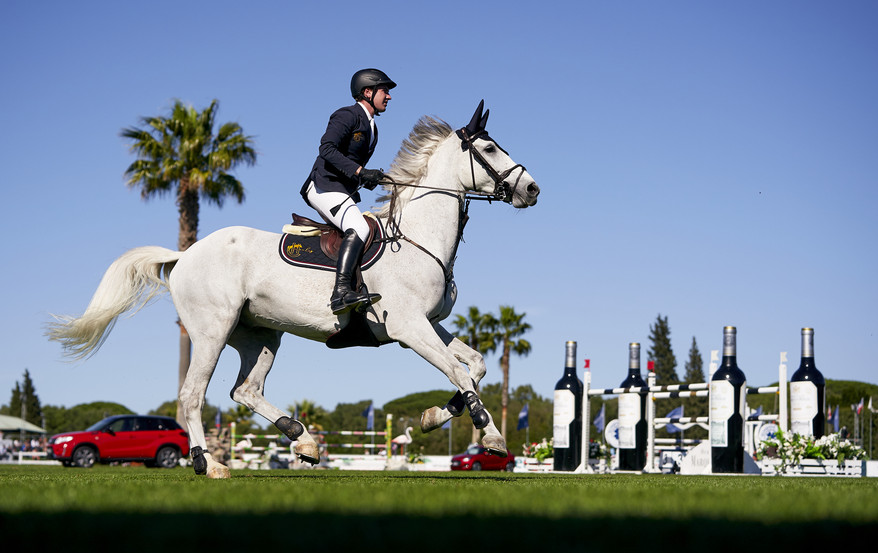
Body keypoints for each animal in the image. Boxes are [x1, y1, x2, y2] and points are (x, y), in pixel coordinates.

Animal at [53, 101, 544, 476]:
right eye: (488, 147)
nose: (533, 189)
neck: (417, 237)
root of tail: (185, 254)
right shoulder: (408, 327)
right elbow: (459, 373)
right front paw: (492, 438)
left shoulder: (427, 326)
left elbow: (475, 366)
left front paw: (432, 416)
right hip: (212, 331)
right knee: (194, 395)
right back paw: (210, 464)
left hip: (260, 335)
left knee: (245, 391)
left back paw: (300, 439)